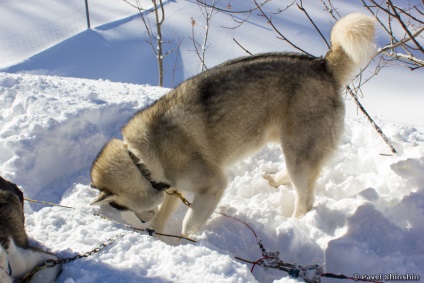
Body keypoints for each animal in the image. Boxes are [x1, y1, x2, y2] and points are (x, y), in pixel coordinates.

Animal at [89, 13, 374, 236]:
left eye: (118, 206)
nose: (138, 222)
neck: (142, 160)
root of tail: (322, 64)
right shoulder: (176, 188)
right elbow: (163, 216)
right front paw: (159, 236)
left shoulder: (213, 185)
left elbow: (189, 225)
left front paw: (186, 242)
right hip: (294, 150)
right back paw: (276, 181)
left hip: (299, 153)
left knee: (305, 200)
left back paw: (293, 224)